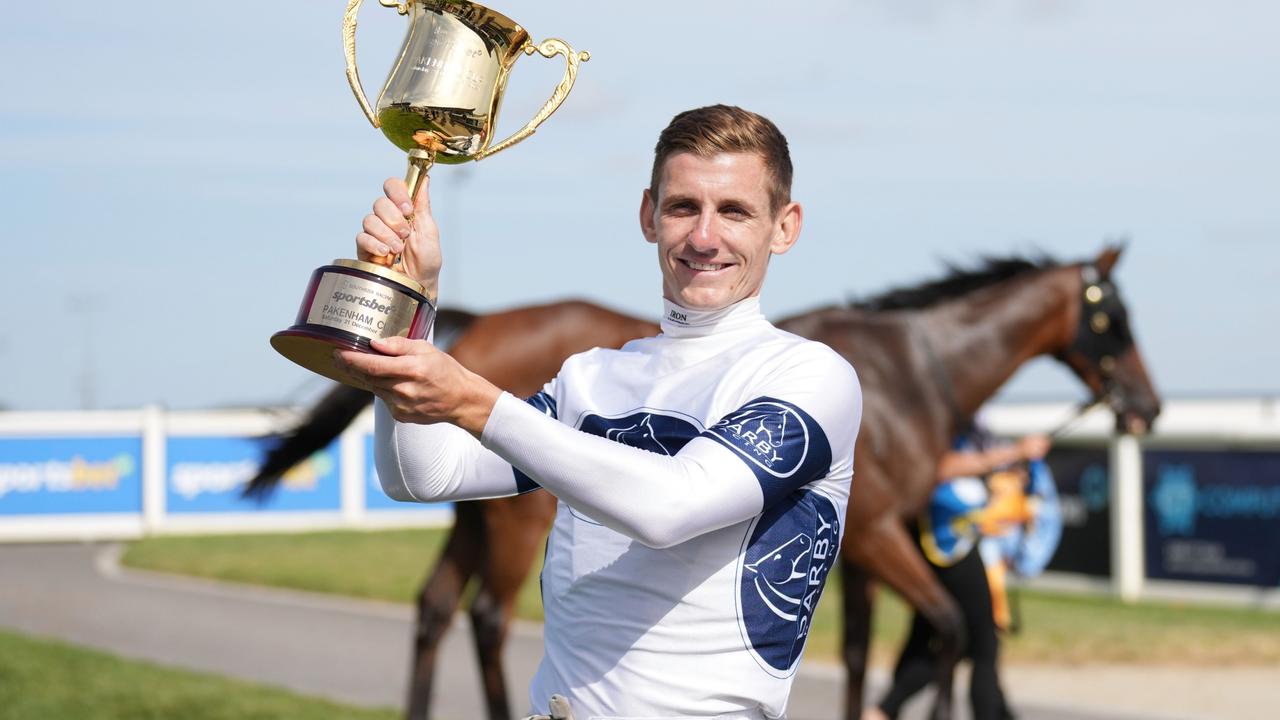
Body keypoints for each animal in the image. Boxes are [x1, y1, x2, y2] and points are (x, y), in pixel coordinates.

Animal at [247, 244, 1162, 717]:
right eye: (1113, 315)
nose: (1147, 407)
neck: (906, 373)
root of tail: (477, 327)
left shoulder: (858, 550)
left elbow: (865, 654)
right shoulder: (875, 536)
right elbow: (948, 628)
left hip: (474, 513)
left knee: (436, 608)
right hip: (513, 525)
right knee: (484, 617)